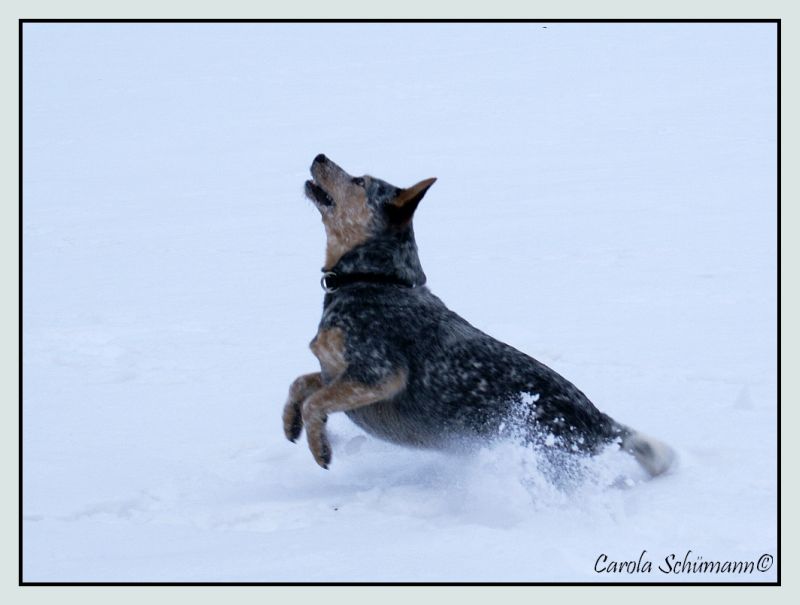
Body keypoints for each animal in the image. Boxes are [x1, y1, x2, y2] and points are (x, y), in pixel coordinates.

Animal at [282, 155, 676, 476]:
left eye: (360, 181)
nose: (320, 155)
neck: (375, 279)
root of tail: (602, 424)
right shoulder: (334, 371)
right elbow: (302, 383)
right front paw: (290, 422)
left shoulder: (378, 374)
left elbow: (316, 400)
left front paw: (320, 448)